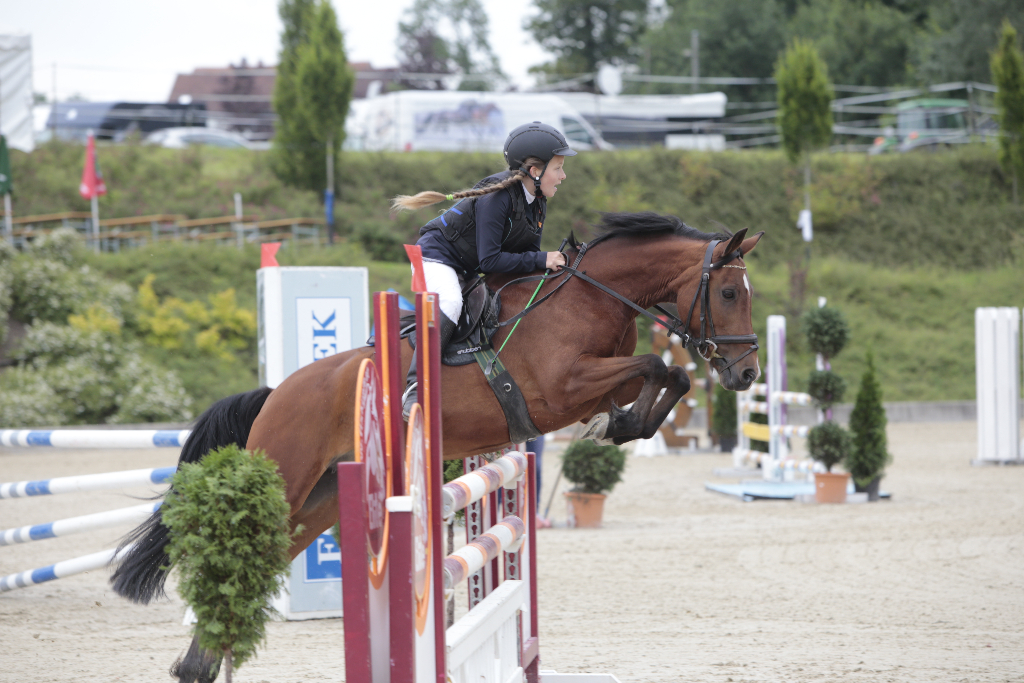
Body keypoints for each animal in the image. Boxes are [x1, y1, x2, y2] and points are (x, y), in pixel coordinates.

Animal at [110, 211, 763, 682]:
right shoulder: (562, 390)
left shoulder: (597, 381)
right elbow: (657, 364)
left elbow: (670, 376)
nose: (747, 374)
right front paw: (615, 428)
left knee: (259, 560)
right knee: (236, 553)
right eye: (730, 293)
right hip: (288, 479)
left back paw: (199, 665)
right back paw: (200, 663)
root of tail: (279, 391)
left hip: (319, 499)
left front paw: (620, 425)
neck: (595, 296)